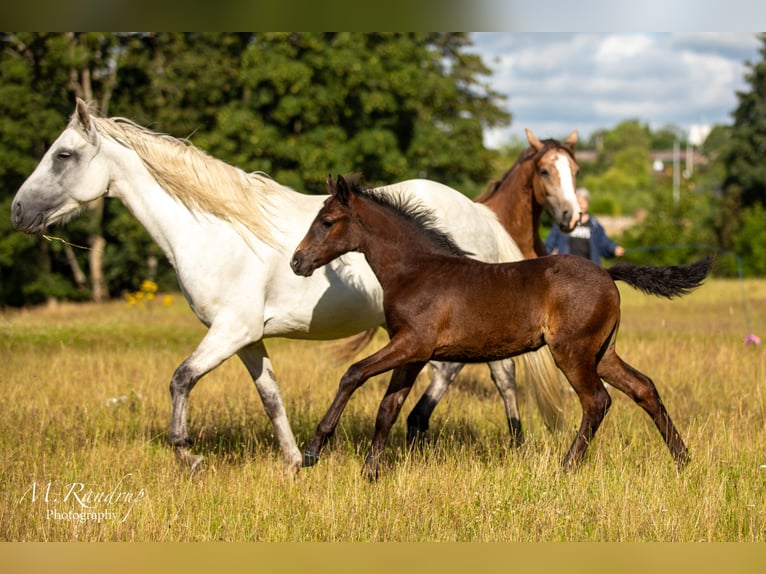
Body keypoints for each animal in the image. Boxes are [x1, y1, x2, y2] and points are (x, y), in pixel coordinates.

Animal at [12, 101, 580, 474]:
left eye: (63, 155)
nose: (18, 211)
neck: (214, 229)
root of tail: (480, 213)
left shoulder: (228, 332)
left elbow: (180, 379)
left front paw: (189, 455)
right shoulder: (246, 339)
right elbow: (271, 397)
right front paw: (295, 460)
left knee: (495, 374)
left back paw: (501, 442)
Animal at [292, 176, 712, 482]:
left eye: (326, 222)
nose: (298, 261)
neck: (416, 270)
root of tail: (608, 274)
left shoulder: (413, 344)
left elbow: (353, 374)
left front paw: (312, 450)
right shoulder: (412, 353)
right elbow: (388, 408)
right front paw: (370, 472)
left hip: (572, 352)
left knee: (597, 401)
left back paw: (566, 467)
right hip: (602, 352)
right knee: (644, 388)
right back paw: (683, 459)